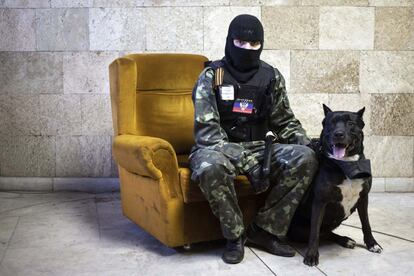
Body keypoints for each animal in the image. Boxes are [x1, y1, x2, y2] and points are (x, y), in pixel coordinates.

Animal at [288, 103, 382, 266]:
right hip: (298, 228)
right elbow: (314, 233)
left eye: (350, 123)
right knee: (321, 233)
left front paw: (372, 244)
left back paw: (345, 240)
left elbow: (366, 224)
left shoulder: (363, 198)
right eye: (331, 123)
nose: (338, 134)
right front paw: (311, 255)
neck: (346, 165)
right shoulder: (320, 202)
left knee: (327, 233)